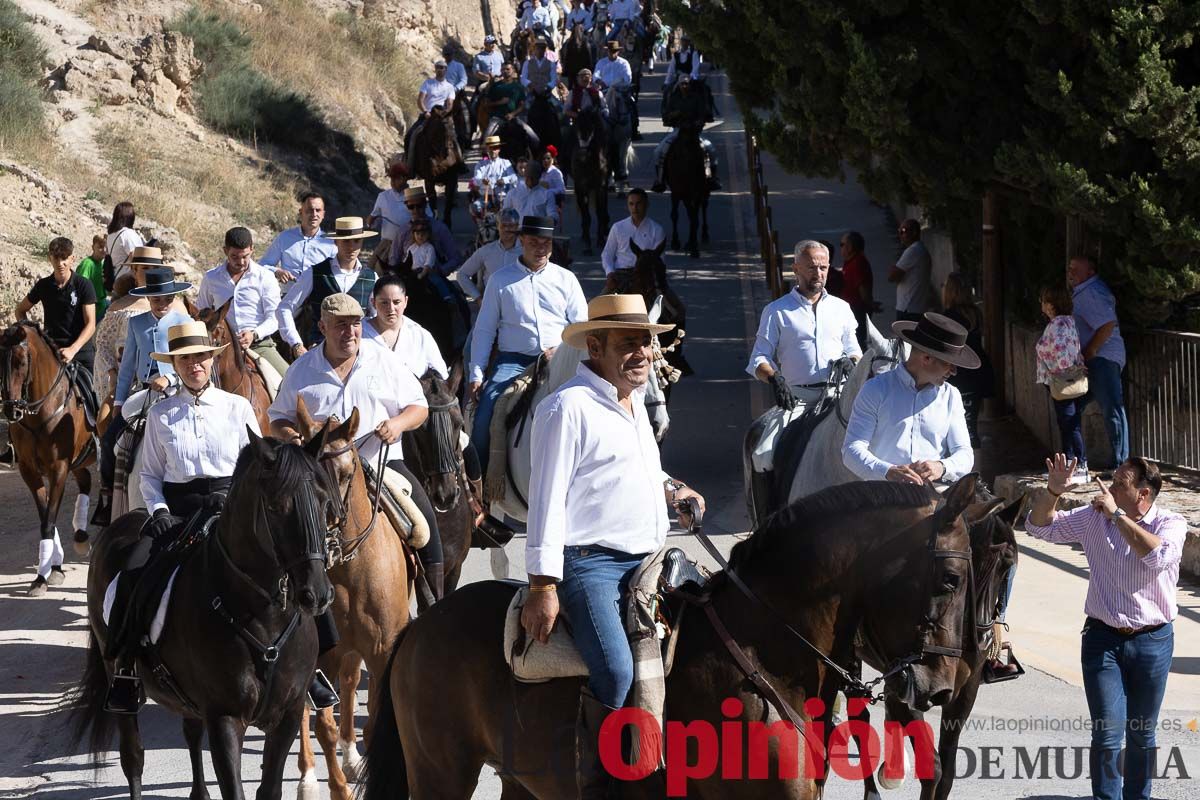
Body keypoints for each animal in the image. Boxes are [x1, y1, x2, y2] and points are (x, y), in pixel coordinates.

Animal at [0, 321, 94, 594]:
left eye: (21, 362)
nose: (11, 410)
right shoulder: (29, 470)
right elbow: (45, 518)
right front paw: (50, 569)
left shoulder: (58, 468)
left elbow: (49, 520)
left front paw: (47, 574)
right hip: (79, 460)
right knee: (86, 481)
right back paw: (81, 536)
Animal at [69, 434, 340, 800]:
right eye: (275, 507)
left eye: (324, 503)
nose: (316, 594)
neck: (263, 617)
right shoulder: (225, 718)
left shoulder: (288, 713)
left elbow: (269, 788)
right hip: (117, 674)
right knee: (133, 757)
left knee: (191, 731)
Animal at [667, 123, 710, 257]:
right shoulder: (682, 192)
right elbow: (686, 214)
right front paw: (686, 243)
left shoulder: (684, 192)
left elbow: (686, 215)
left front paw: (681, 242)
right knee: (694, 211)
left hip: (699, 191)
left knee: (703, 207)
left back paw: (704, 235)